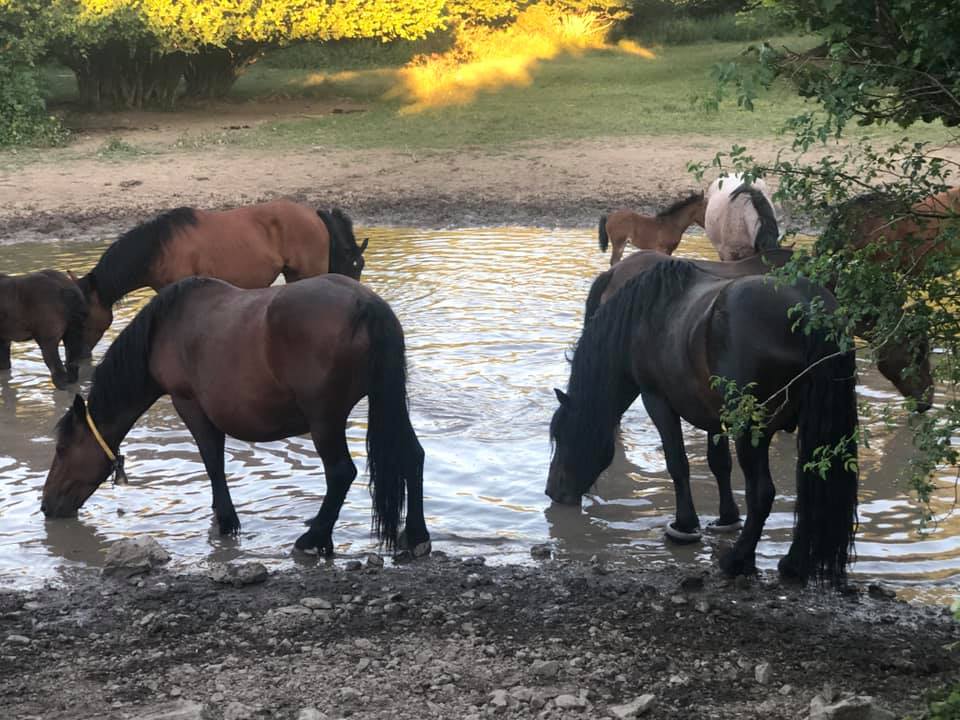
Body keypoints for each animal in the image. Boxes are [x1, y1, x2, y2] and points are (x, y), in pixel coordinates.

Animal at [41, 272, 430, 560]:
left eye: (62, 450)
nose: (46, 505)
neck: (164, 329)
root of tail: (367, 304)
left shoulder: (189, 403)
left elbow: (213, 461)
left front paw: (226, 521)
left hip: (325, 420)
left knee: (340, 473)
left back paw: (313, 538)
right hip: (385, 401)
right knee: (412, 456)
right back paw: (416, 535)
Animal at [552, 258, 860, 584]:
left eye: (562, 435)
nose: (552, 491)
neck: (645, 318)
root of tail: (809, 309)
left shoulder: (657, 400)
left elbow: (677, 463)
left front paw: (684, 526)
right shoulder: (714, 415)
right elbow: (719, 464)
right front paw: (726, 518)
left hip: (752, 430)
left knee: (762, 493)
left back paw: (738, 560)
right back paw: (793, 564)